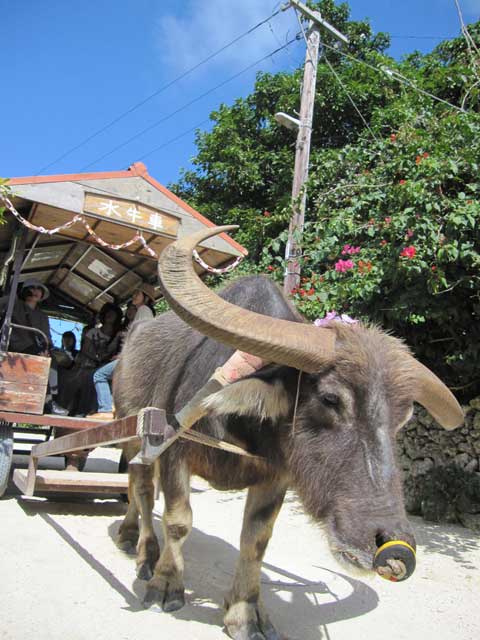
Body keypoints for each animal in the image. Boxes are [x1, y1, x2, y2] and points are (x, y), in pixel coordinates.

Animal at [112, 226, 462, 640]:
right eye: (330, 399)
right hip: (131, 432)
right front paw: (166, 585)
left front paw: (245, 612)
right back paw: (139, 547)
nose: (393, 547)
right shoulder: (173, 452)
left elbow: (256, 540)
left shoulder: (276, 475)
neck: (238, 423)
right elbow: (178, 520)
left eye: (402, 418)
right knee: (141, 489)